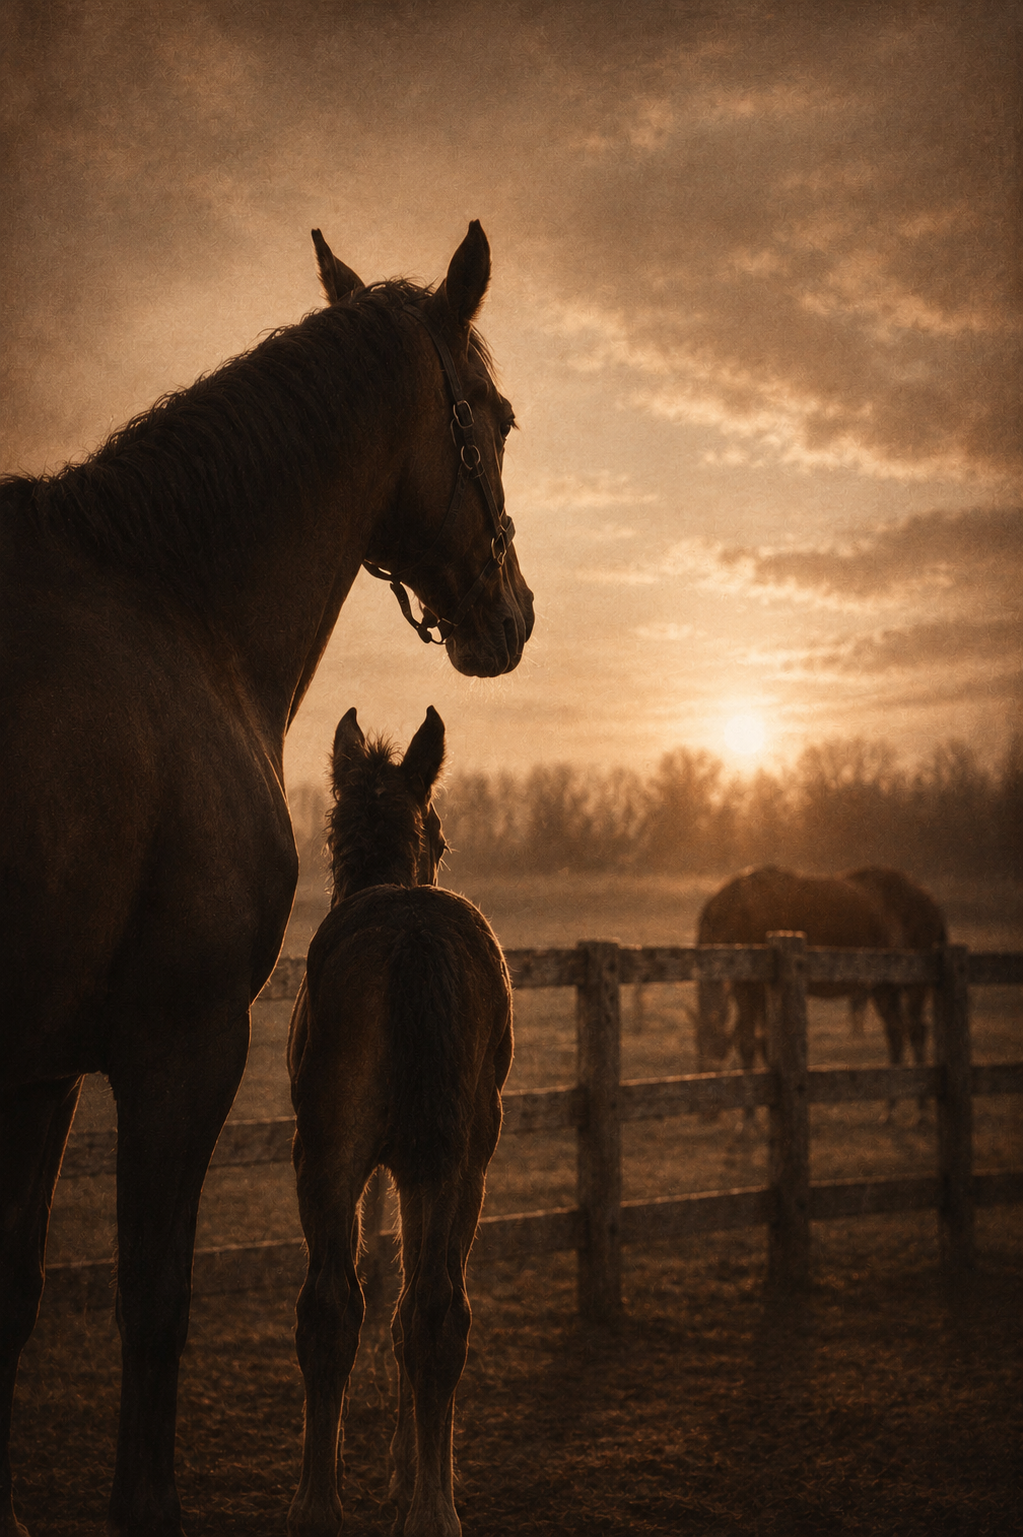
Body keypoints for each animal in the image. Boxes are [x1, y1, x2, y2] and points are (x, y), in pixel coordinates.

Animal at [287, 707, 512, 1537]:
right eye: (441, 838)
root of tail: (415, 933)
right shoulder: (425, 1166)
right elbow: (411, 1310)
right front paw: (408, 1475)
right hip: (457, 1163)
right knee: (436, 1313)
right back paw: (433, 1510)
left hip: (328, 1154)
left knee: (330, 1308)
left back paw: (319, 1505)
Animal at [695, 866, 905, 1119]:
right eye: (697, 1047)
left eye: (715, 1052)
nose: (707, 1112)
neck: (738, 910)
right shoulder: (745, 987)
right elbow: (762, 1041)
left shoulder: (752, 987)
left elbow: (748, 1043)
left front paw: (749, 1120)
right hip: (879, 987)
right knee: (896, 1030)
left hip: (885, 985)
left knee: (898, 1032)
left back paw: (895, 1109)